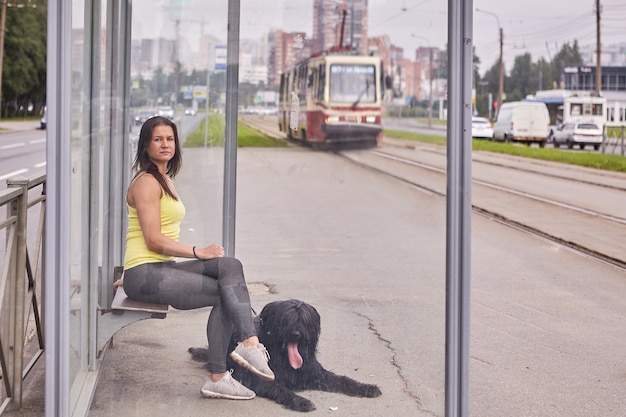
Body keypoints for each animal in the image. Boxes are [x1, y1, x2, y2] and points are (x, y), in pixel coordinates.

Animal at [188, 298, 380, 412]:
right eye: (286, 319)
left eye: (304, 320)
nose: (296, 334)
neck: (285, 360)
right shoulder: (264, 379)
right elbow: (281, 389)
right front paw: (301, 401)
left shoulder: (315, 374)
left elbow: (343, 379)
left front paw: (367, 387)